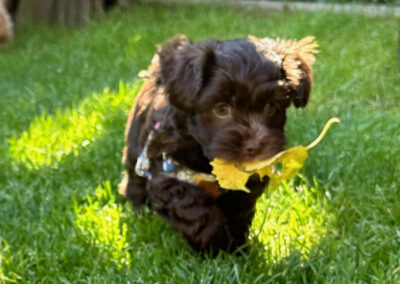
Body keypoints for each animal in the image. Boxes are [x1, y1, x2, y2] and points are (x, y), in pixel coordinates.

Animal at [120, 34, 318, 254]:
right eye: (221, 109)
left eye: (271, 107)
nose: (254, 146)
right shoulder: (168, 173)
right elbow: (194, 211)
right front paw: (215, 245)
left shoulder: (245, 183)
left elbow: (239, 211)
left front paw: (238, 247)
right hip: (137, 151)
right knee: (134, 179)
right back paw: (139, 208)